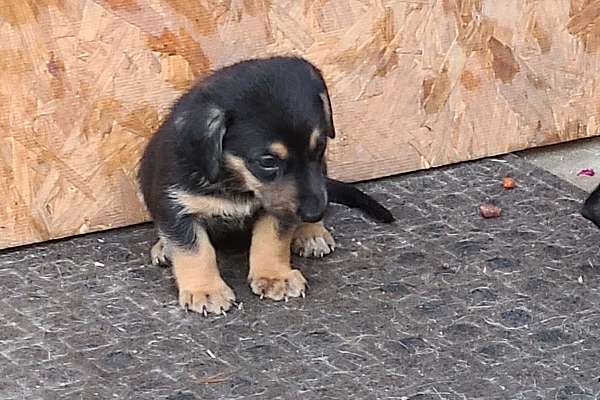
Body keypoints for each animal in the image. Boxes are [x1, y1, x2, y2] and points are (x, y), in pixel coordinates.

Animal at [139, 56, 396, 316]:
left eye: (320, 146)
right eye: (268, 161)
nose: (315, 213)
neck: (235, 182)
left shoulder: (279, 208)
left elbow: (271, 240)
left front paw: (275, 277)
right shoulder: (175, 206)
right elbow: (195, 251)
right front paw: (206, 290)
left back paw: (311, 233)